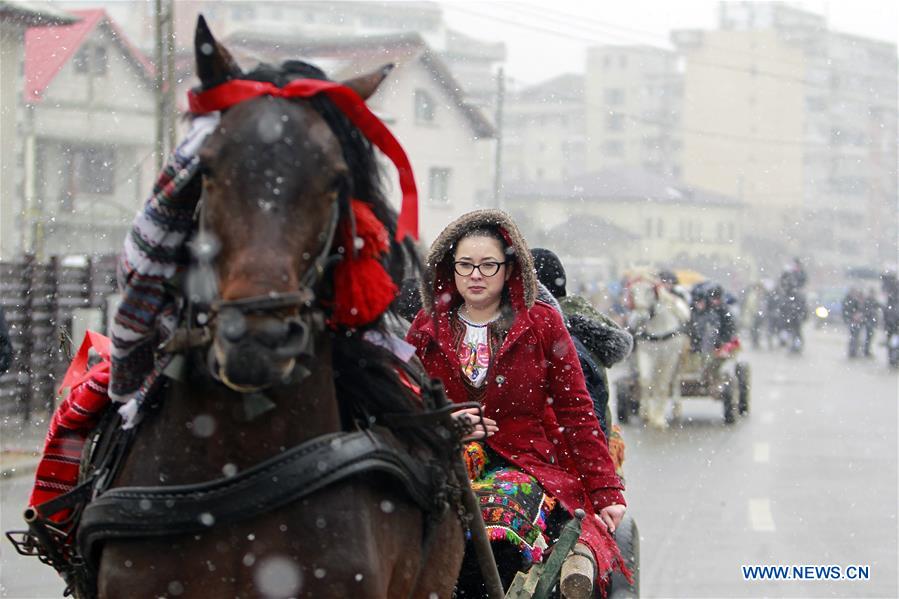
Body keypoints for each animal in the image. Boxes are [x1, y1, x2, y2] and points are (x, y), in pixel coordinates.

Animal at [628, 276, 692, 432]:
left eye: (650, 290)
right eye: (632, 291)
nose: (640, 317)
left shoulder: (671, 356)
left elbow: (663, 386)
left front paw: (658, 419)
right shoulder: (646, 353)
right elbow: (646, 381)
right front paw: (647, 413)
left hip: (678, 358)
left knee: (675, 379)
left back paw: (676, 408)